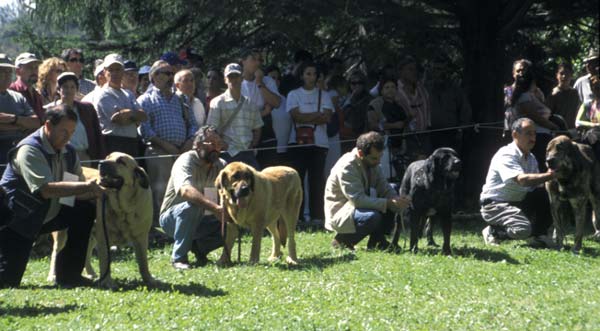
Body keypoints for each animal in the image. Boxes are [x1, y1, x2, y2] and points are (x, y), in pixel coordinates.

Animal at [49, 153, 157, 288]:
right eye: (107, 157)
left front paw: (149, 279)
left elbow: (143, 263)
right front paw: (107, 282)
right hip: (63, 234)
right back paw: (52, 275)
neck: (123, 208)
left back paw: (90, 272)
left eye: (121, 161)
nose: (101, 163)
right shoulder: (103, 238)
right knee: (55, 252)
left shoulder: (141, 238)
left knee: (87, 252)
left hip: (91, 234)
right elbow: (105, 262)